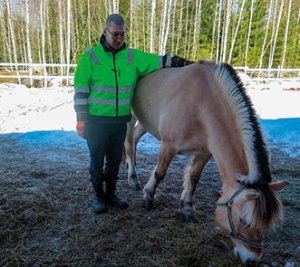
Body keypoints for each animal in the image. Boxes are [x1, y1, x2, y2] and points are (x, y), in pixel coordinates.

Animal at [123, 61, 288, 266]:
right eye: (243, 221)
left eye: (265, 225)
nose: (252, 260)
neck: (201, 105)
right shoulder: (168, 146)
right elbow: (160, 173)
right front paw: (148, 198)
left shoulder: (204, 153)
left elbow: (194, 178)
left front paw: (187, 209)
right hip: (131, 117)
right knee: (129, 143)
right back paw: (133, 179)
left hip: (146, 122)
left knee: (135, 141)